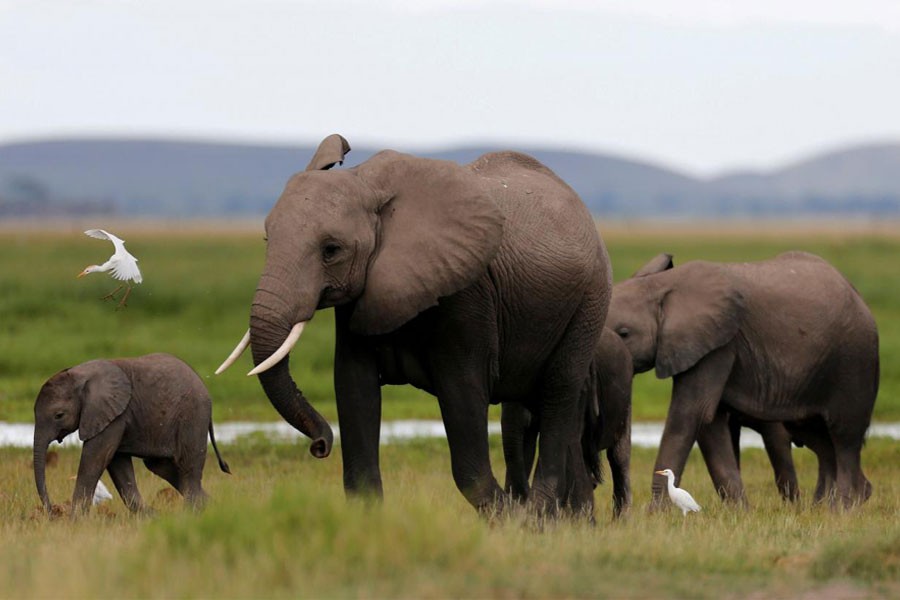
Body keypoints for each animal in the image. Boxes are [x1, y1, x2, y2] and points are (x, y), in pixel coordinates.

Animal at [34, 352, 232, 516]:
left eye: (59, 415)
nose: (52, 512)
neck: (80, 373)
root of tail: (203, 385)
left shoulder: (113, 414)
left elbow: (95, 459)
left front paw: (75, 521)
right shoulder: (114, 415)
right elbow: (117, 464)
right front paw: (151, 517)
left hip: (193, 415)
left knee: (188, 467)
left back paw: (193, 514)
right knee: (161, 467)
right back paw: (213, 507)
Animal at [219, 136, 612, 516]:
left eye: (331, 250)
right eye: (267, 240)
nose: (320, 445)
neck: (367, 182)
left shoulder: (466, 292)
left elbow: (462, 392)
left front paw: (509, 519)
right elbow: (353, 385)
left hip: (589, 302)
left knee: (559, 392)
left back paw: (537, 517)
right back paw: (569, 522)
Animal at [604, 251, 880, 508]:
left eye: (624, 333)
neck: (662, 284)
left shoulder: (720, 344)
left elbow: (691, 413)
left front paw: (656, 514)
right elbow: (710, 422)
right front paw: (739, 512)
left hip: (854, 361)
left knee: (845, 436)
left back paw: (843, 509)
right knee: (819, 439)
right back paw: (829, 507)